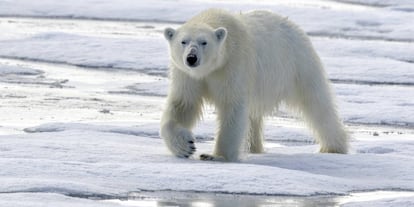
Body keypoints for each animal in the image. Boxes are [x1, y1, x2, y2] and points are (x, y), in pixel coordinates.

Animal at [160, 8, 348, 162]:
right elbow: (183, 104)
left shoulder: (232, 65)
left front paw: (216, 156)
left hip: (297, 66)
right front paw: (185, 146)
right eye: (183, 41)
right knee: (254, 116)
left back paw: (334, 147)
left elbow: (232, 107)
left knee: (317, 104)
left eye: (203, 42)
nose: (191, 58)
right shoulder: (187, 75)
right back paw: (253, 147)